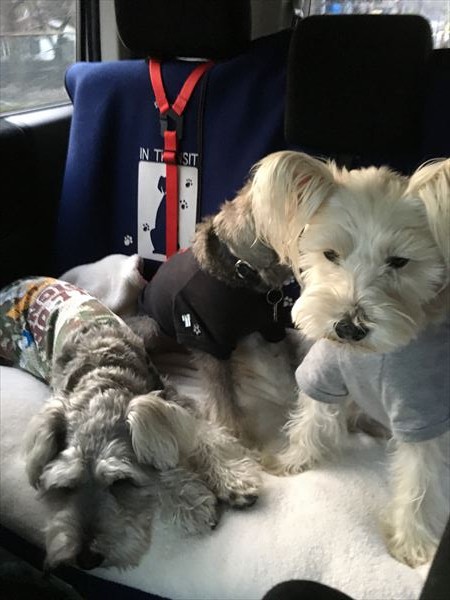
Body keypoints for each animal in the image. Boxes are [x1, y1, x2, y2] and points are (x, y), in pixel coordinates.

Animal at [0, 277, 261, 570]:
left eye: (121, 483)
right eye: (64, 488)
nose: (86, 559)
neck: (104, 373)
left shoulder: (172, 398)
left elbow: (203, 436)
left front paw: (234, 482)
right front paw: (192, 502)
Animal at [251, 152, 450, 567]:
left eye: (399, 261)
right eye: (330, 254)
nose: (347, 328)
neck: (369, 357)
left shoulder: (423, 409)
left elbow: (421, 476)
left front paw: (412, 543)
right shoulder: (324, 371)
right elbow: (309, 419)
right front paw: (291, 460)